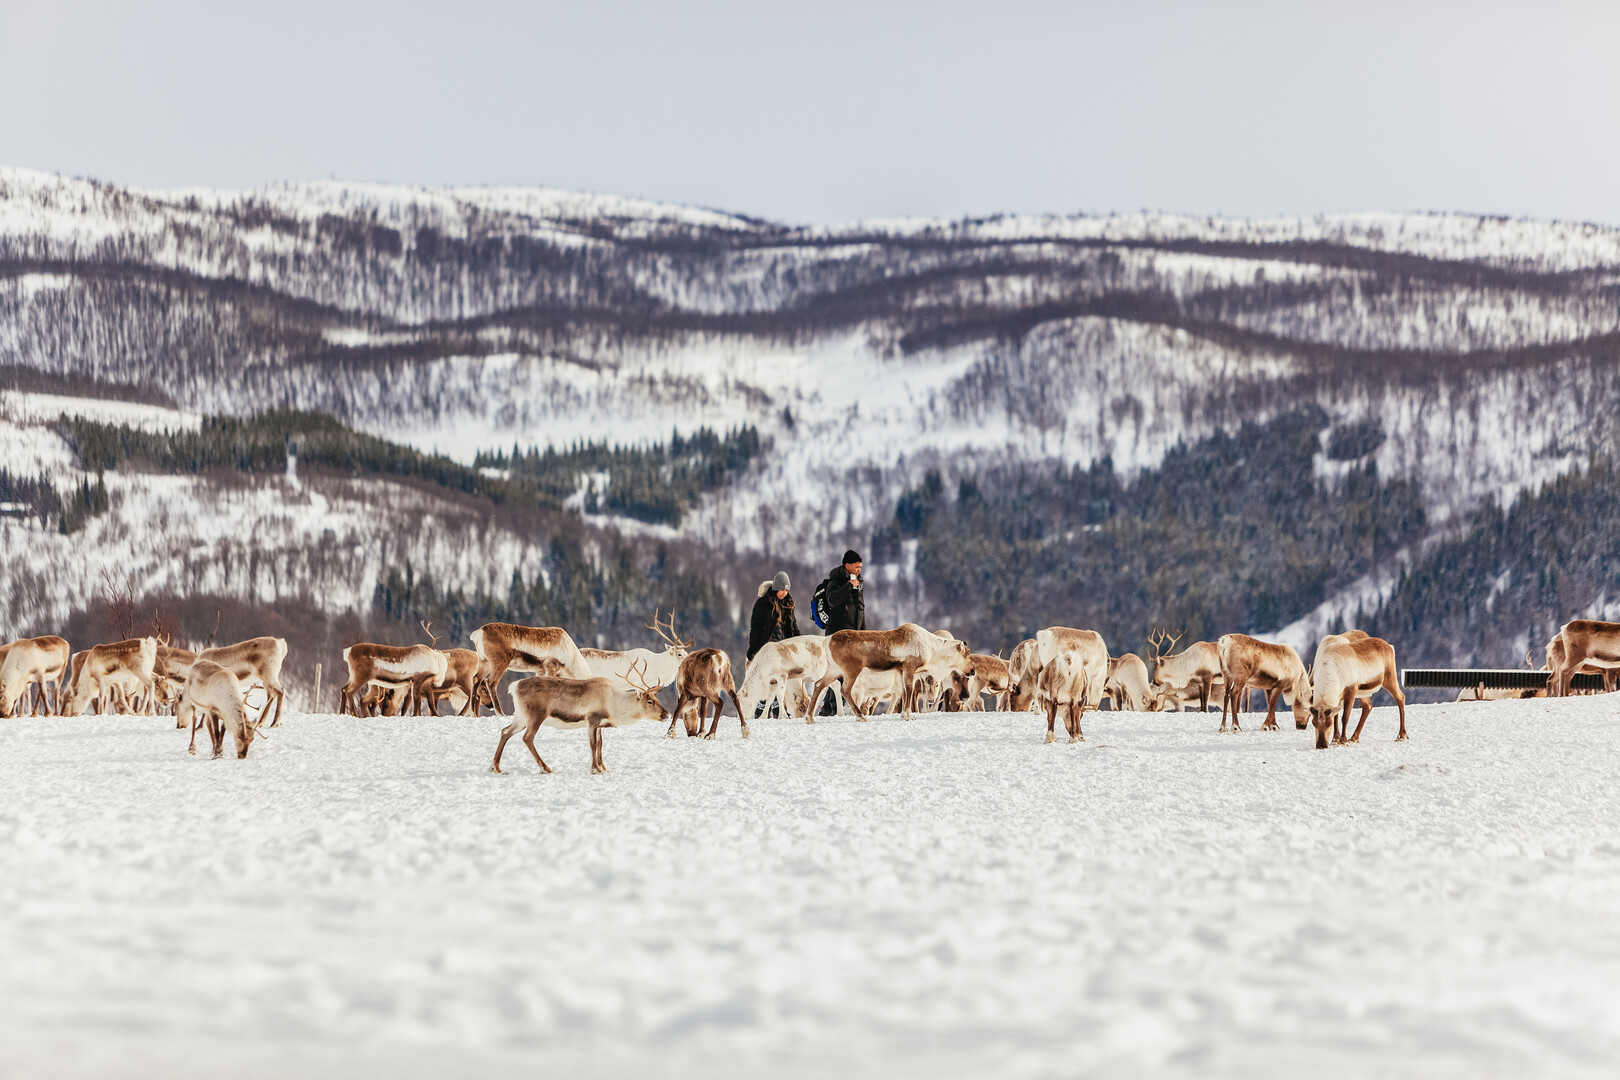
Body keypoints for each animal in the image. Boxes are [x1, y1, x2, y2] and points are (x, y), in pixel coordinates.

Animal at [489, 660, 669, 774]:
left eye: (658, 698)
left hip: (520, 717)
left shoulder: (600, 725)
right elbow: (593, 744)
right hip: (535, 716)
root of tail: (514, 686)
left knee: (505, 731)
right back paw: (545, 768)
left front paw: (603, 767)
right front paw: (595, 769)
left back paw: (495, 767)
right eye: (650, 701)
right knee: (527, 738)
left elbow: (600, 745)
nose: (666, 714)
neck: (614, 706)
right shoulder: (591, 720)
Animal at [808, 623, 971, 721]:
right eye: (967, 653)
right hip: (851, 670)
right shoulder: (909, 668)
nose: (972, 671)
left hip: (833, 669)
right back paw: (861, 716)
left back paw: (809, 718)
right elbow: (909, 691)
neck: (932, 650)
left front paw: (906, 715)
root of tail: (827, 641)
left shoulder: (903, 672)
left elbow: (905, 693)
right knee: (844, 689)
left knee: (819, 684)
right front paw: (907, 716)